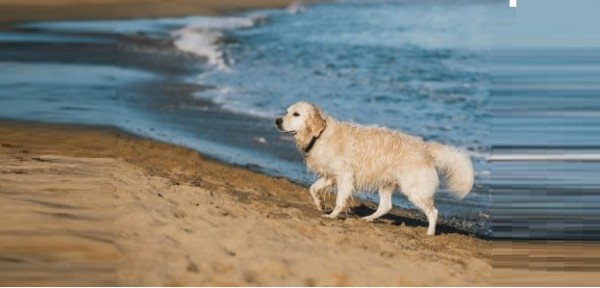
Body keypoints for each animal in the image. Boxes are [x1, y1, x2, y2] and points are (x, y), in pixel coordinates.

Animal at [276, 100, 474, 234]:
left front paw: (332, 215)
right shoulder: (331, 174)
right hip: (386, 183)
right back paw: (368, 219)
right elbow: (312, 188)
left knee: (433, 212)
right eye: (287, 111)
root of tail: (426, 149)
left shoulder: (345, 175)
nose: (277, 121)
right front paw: (319, 203)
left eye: (296, 114)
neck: (320, 134)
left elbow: (339, 200)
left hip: (414, 189)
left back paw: (430, 233)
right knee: (386, 206)